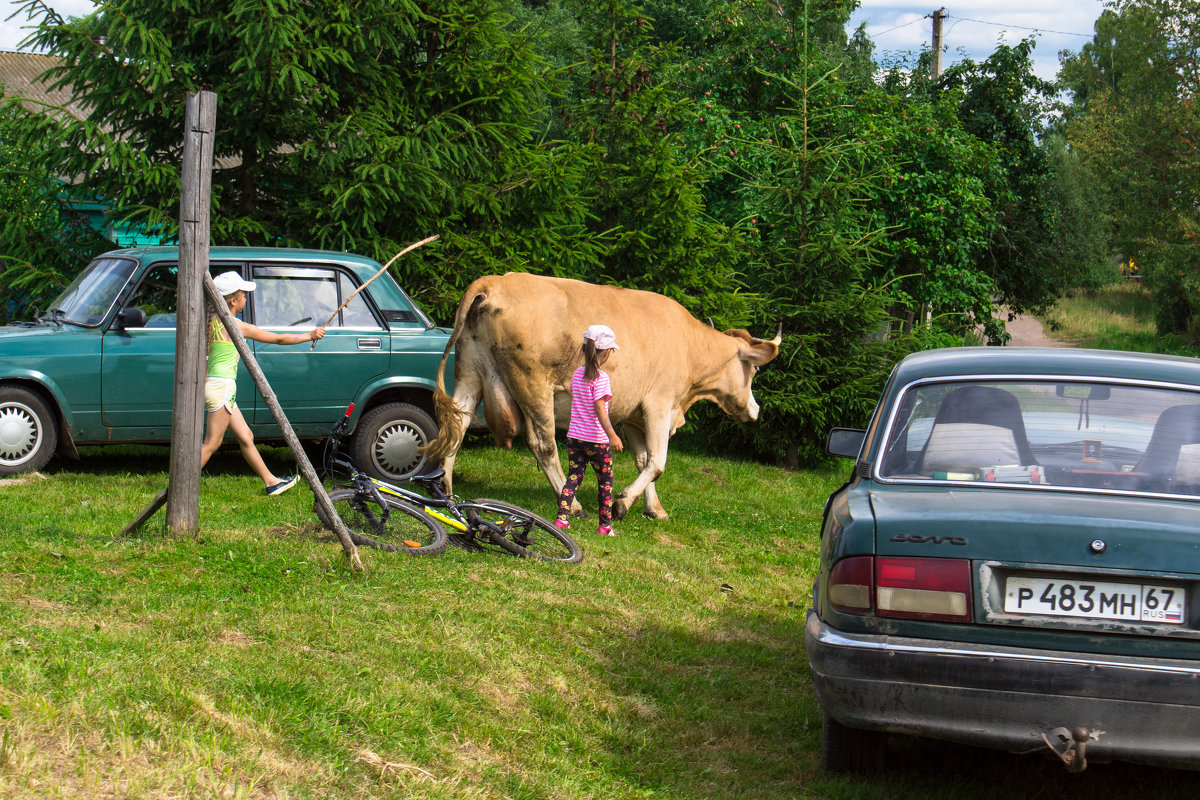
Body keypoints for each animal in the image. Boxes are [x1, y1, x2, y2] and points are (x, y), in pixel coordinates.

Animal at [422, 273, 777, 520]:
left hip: (471, 373)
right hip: (533, 385)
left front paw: (653, 508)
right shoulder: (659, 405)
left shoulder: (634, 416)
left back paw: (447, 492)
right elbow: (658, 462)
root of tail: (492, 281)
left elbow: (643, 460)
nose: (756, 409)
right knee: (544, 445)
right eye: (755, 370)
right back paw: (574, 505)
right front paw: (622, 503)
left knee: (457, 428)